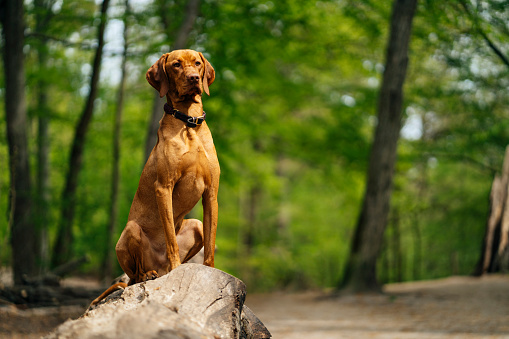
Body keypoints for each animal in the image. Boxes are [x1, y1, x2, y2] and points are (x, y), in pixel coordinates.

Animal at [91, 49, 218, 306]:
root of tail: (160, 269)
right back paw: (149, 274)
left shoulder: (211, 192)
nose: (193, 78)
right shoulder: (164, 187)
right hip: (130, 230)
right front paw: (176, 264)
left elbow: (210, 245)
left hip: (196, 224)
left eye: (197, 63)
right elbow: (170, 238)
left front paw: (210, 274)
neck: (189, 123)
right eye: (176, 65)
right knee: (136, 276)